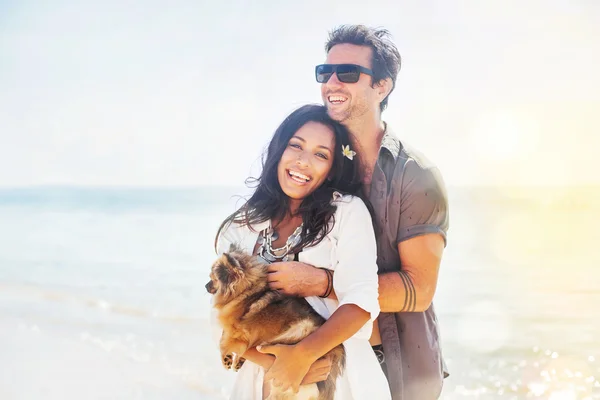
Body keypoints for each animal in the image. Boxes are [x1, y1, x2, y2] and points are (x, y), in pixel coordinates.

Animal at [206, 244, 346, 400]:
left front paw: (227, 358)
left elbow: (225, 342)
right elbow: (227, 338)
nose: (205, 286)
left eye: (213, 279)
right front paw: (236, 361)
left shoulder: (239, 330)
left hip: (298, 330)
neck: (247, 292)